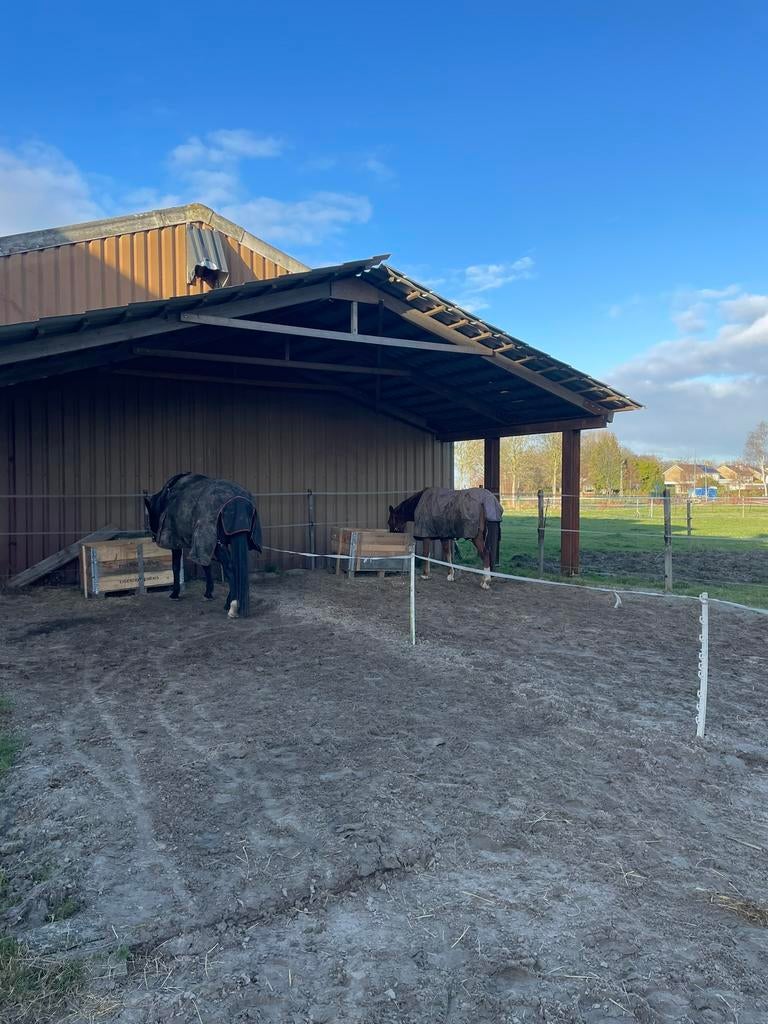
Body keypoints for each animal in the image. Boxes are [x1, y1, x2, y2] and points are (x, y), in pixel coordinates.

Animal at [144, 473, 262, 618]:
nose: (153, 537)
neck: (167, 497)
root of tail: (237, 500)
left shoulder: (177, 541)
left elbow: (176, 567)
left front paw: (175, 594)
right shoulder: (203, 544)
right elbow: (206, 567)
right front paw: (208, 593)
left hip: (218, 546)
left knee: (230, 569)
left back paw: (231, 606)